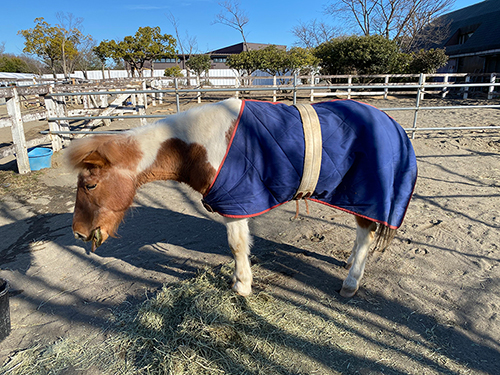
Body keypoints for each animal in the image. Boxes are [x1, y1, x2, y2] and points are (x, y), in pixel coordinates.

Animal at [67, 98, 418, 298]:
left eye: (90, 186)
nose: (79, 233)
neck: (197, 145)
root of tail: (393, 124)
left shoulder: (235, 206)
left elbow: (236, 246)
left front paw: (242, 286)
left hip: (369, 196)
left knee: (365, 232)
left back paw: (351, 281)